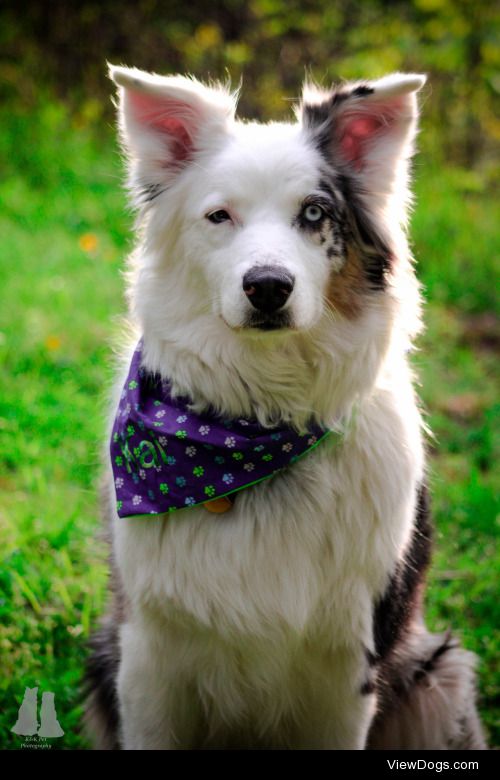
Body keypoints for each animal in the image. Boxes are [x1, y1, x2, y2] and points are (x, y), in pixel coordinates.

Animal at [84, 62, 486, 748]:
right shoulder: (147, 654)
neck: (255, 424)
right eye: (219, 216)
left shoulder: (347, 665)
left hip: (440, 675)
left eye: (315, 213)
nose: (268, 286)